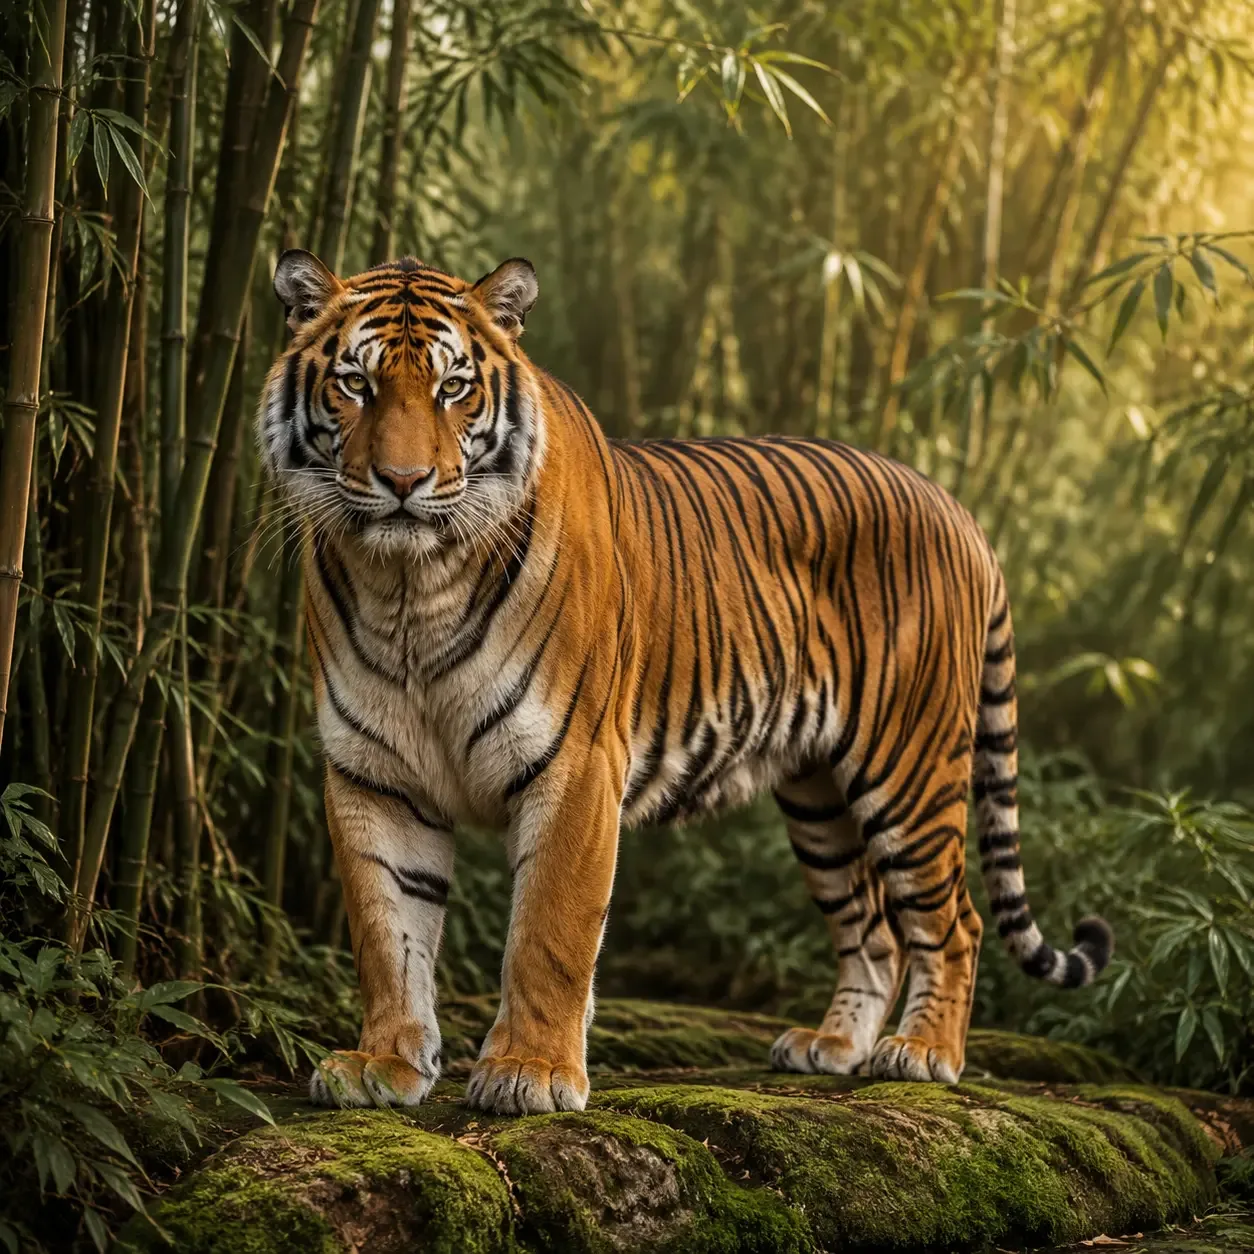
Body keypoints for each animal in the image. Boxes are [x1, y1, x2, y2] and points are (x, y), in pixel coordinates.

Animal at [256, 248, 1113, 1116]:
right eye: (356, 383)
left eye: (453, 388)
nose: (403, 481)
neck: (411, 591)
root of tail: (957, 507)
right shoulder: (374, 774)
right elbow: (384, 930)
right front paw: (384, 1064)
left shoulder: (576, 765)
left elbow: (549, 933)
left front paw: (532, 1072)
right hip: (819, 797)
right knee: (872, 928)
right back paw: (832, 1046)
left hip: (908, 766)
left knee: (954, 921)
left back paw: (923, 1052)